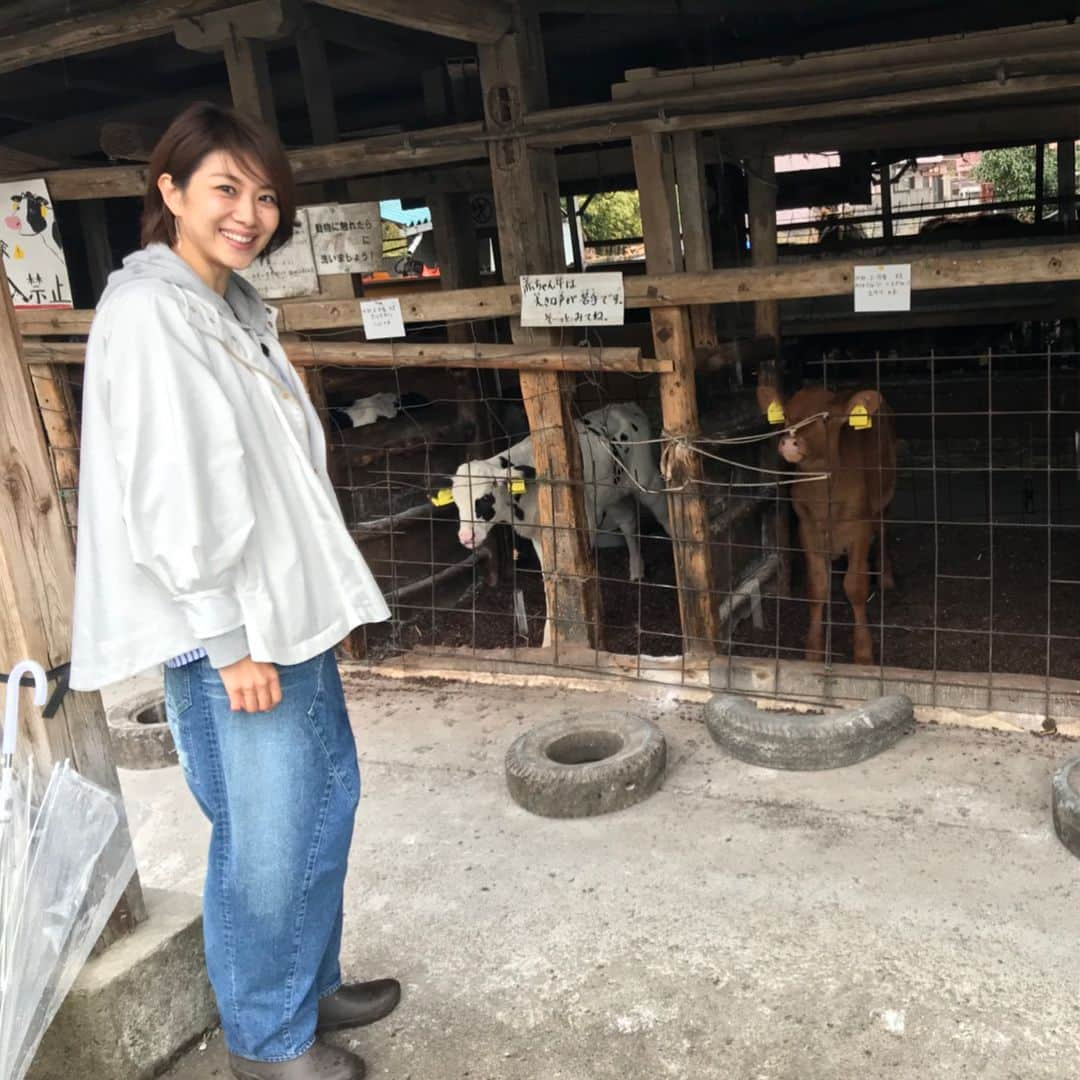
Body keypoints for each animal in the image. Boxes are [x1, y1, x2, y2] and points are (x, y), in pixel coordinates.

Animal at [447, 401, 665, 583]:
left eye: (485, 498)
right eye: (456, 503)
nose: (466, 537)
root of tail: (626, 406)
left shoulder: (584, 525)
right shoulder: (538, 533)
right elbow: (548, 572)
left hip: (646, 480)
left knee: (662, 510)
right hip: (610, 493)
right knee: (627, 520)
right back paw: (636, 570)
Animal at [760, 384, 902, 660]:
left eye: (824, 418)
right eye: (787, 417)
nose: (789, 441)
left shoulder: (860, 527)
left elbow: (856, 586)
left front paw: (863, 652)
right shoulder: (806, 526)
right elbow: (817, 586)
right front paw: (813, 651)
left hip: (886, 496)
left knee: (883, 532)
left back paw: (886, 577)